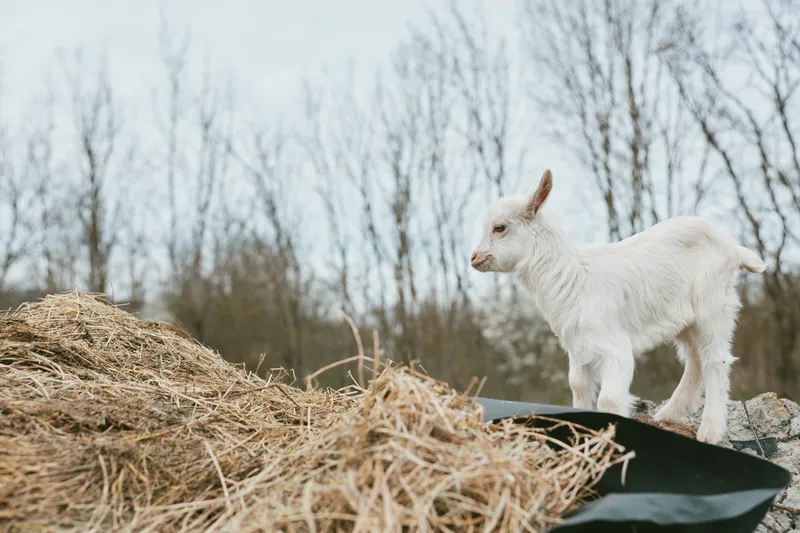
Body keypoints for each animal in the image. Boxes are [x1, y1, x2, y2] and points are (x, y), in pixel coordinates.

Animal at [470, 169, 766, 444]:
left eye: (499, 228)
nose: (474, 258)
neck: (573, 277)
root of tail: (733, 247)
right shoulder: (577, 349)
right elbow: (578, 389)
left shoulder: (614, 348)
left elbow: (609, 400)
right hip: (686, 321)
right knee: (695, 360)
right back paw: (669, 414)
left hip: (712, 305)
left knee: (715, 360)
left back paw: (710, 432)